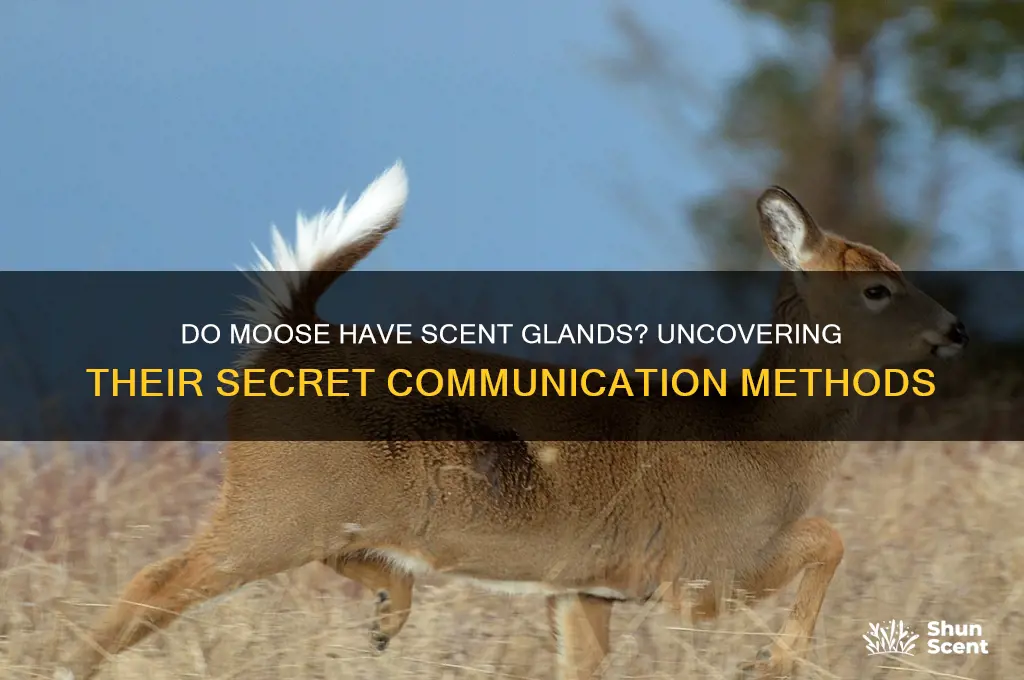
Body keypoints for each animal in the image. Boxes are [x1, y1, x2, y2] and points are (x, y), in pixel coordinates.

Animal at [56, 160, 968, 680]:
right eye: (876, 286)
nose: (956, 329)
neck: (762, 444)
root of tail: (289, 336)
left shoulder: (587, 588)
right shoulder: (700, 569)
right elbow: (831, 537)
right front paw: (767, 663)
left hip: (317, 509)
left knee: (349, 559)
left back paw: (388, 616)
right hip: (273, 505)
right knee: (155, 583)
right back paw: (61, 666)